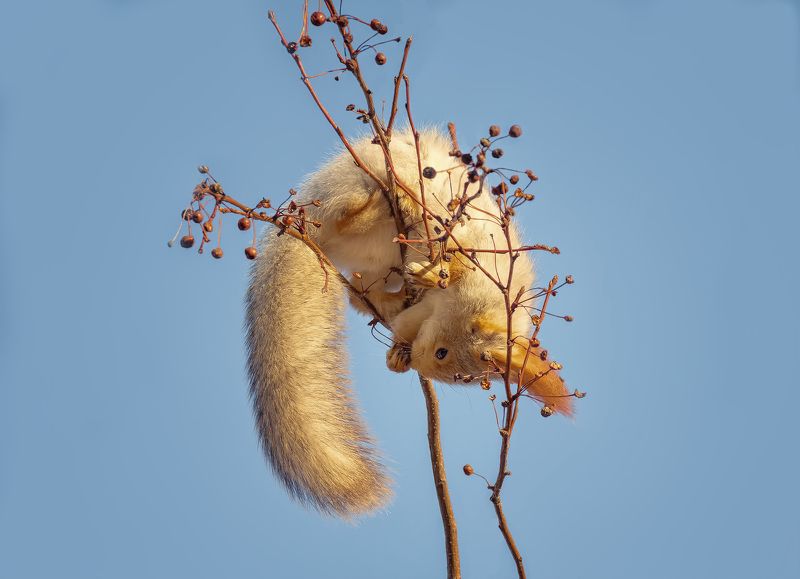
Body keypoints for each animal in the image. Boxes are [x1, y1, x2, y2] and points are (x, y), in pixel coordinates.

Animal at [245, 129, 572, 518]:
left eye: (455, 373)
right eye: (444, 353)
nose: (418, 363)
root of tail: (308, 226)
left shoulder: (428, 311)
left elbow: (406, 323)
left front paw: (398, 355)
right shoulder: (471, 255)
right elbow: (455, 259)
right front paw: (436, 274)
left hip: (376, 263)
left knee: (360, 291)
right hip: (362, 182)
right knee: (352, 216)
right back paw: (390, 202)